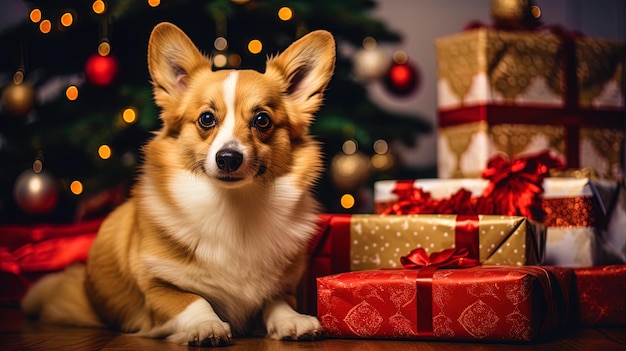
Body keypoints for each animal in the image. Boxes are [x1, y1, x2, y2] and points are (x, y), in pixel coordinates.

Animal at [23, 23, 336, 348]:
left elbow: (276, 303)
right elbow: (192, 299)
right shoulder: (156, 286)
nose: (228, 158)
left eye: (262, 120)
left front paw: (294, 320)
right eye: (206, 118)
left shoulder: (280, 288)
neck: (233, 205)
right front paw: (206, 326)